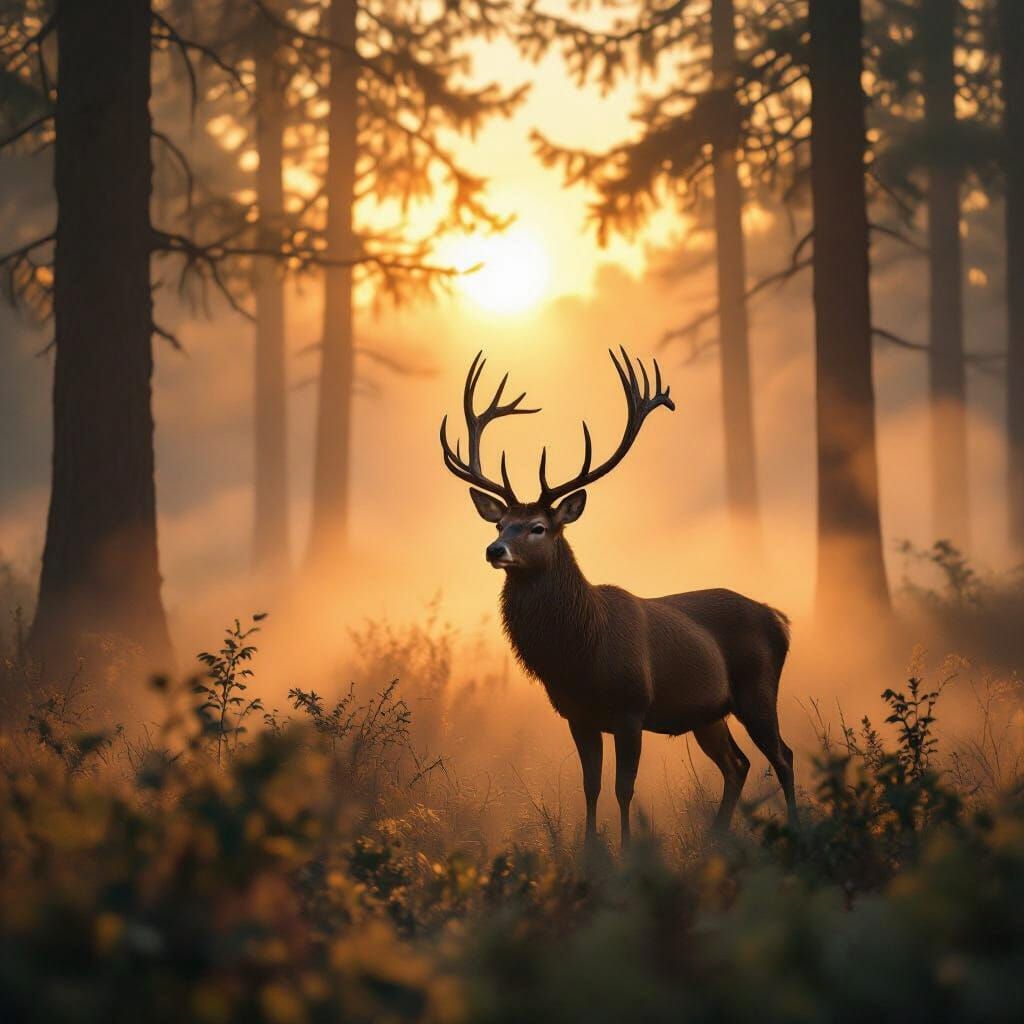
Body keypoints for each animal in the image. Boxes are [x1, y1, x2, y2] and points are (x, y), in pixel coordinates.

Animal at [440, 348, 798, 849]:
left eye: (538, 527)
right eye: (499, 523)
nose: (495, 550)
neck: (580, 653)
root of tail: (778, 617)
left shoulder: (631, 708)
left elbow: (623, 789)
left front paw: (629, 852)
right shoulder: (578, 716)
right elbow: (589, 787)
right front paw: (591, 851)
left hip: (758, 689)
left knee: (783, 755)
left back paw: (800, 831)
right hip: (708, 712)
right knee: (738, 764)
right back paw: (716, 840)